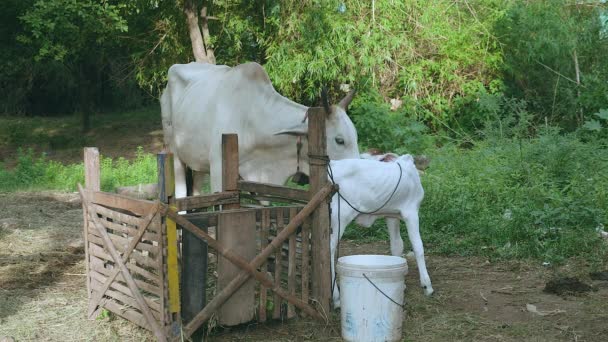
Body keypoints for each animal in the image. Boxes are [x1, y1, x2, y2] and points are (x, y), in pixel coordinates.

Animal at [328, 154, 432, 308]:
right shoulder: (411, 212)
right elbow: (418, 246)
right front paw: (427, 285)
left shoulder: (392, 215)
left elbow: (397, 245)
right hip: (339, 217)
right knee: (328, 249)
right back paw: (335, 297)